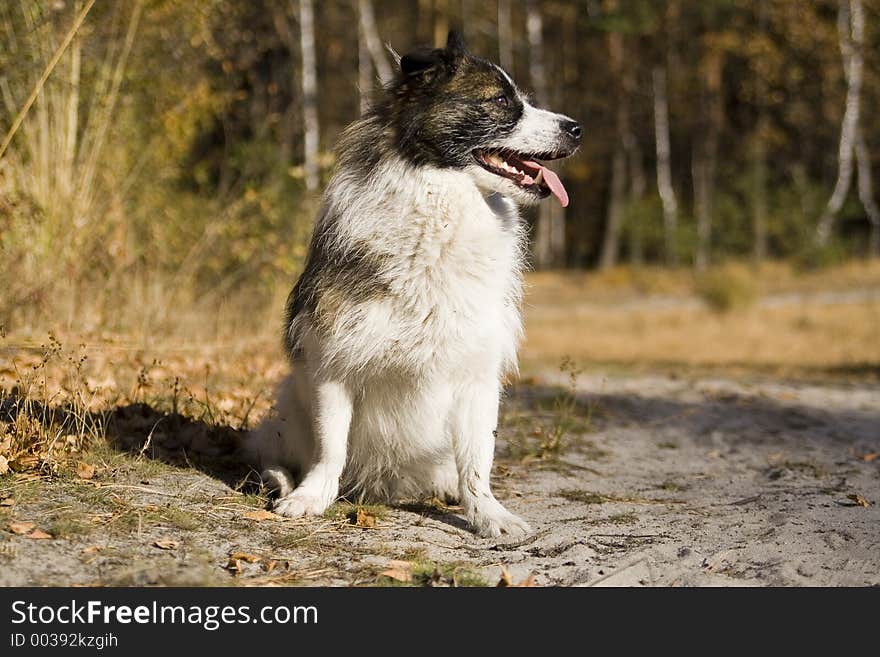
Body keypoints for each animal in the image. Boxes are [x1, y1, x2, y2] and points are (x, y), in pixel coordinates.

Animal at [248, 30, 580, 536]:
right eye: (502, 101)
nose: (577, 129)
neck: (439, 205)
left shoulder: (477, 373)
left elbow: (477, 461)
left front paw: (487, 514)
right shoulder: (333, 364)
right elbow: (330, 447)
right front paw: (310, 497)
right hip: (286, 406)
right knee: (277, 449)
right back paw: (282, 480)